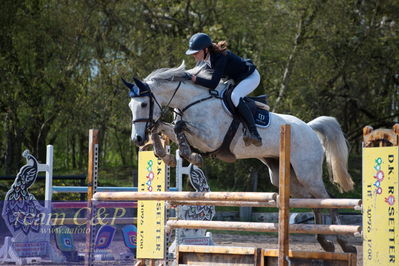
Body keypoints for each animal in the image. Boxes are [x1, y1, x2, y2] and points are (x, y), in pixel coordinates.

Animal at [123, 62, 358, 254]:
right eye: (130, 106)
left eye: (143, 104)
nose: (137, 138)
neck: (192, 100)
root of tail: (309, 128)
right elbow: (164, 127)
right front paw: (164, 153)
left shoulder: (211, 139)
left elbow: (180, 127)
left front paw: (192, 156)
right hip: (287, 177)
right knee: (313, 201)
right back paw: (325, 243)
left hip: (307, 173)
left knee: (327, 199)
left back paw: (344, 243)